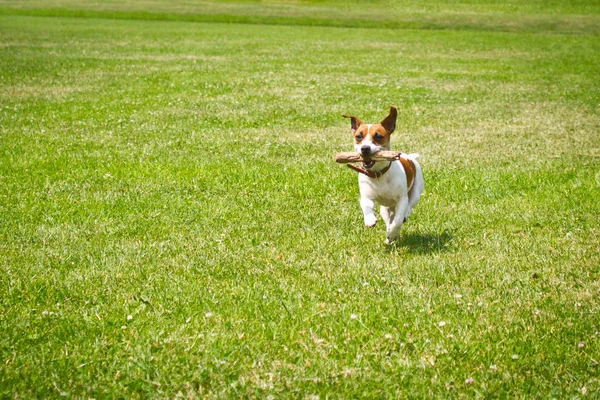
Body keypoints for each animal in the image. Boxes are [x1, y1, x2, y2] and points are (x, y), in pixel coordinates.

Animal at [342, 105, 426, 244]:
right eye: (359, 137)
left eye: (378, 137)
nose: (365, 148)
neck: (378, 174)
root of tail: (410, 157)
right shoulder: (366, 195)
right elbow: (366, 205)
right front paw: (369, 219)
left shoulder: (402, 199)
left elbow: (397, 221)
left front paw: (393, 232)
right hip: (385, 209)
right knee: (388, 220)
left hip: (415, 193)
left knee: (408, 207)